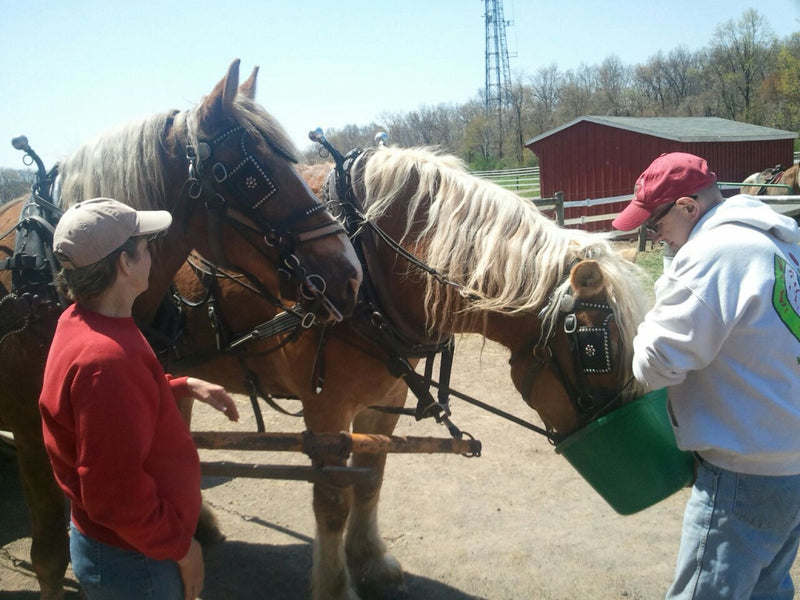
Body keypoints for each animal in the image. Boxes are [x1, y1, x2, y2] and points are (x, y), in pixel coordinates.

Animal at [167, 144, 651, 600]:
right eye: (595, 350)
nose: (626, 416)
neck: (368, 264)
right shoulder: (325, 411)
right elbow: (332, 502)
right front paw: (335, 586)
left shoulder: (386, 399)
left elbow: (370, 480)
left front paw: (371, 563)